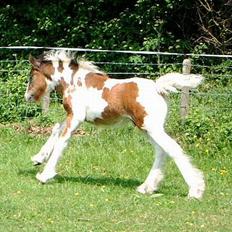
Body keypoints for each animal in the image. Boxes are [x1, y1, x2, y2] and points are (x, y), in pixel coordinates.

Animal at [25, 51, 206, 199]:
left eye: (31, 76)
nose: (28, 96)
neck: (74, 82)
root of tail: (157, 87)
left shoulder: (76, 117)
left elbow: (62, 141)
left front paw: (44, 175)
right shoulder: (72, 116)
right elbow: (56, 128)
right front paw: (38, 158)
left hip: (152, 128)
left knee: (173, 149)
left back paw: (195, 190)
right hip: (145, 128)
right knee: (161, 151)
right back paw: (146, 187)